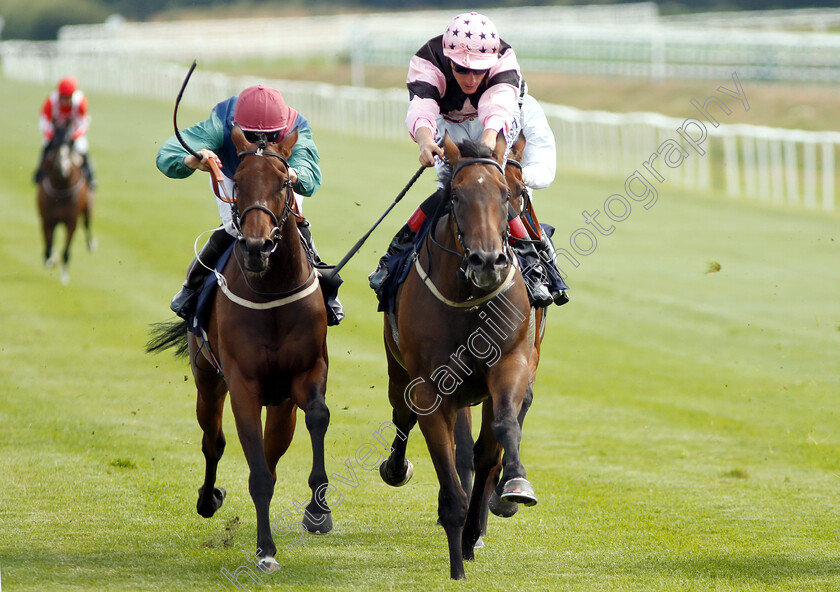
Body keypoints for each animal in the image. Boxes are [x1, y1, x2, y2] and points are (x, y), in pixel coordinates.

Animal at [37, 121, 94, 284]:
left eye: (69, 148)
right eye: (55, 147)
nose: (63, 170)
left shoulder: (71, 222)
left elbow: (66, 251)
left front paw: (64, 277)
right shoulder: (47, 220)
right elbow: (48, 249)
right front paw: (51, 259)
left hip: (88, 208)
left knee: (87, 225)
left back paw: (92, 244)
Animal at [149, 126, 334, 572]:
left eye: (284, 183)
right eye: (239, 181)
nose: (256, 246)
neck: (272, 291)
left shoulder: (307, 372)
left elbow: (317, 417)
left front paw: (318, 511)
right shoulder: (243, 384)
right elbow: (253, 468)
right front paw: (266, 550)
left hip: (280, 403)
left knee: (272, 448)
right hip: (208, 381)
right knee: (213, 441)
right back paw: (208, 499)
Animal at [380, 131, 540, 580]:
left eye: (506, 194)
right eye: (455, 196)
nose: (487, 261)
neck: (468, 299)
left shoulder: (512, 364)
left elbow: (503, 430)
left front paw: (515, 485)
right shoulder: (431, 389)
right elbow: (449, 472)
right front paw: (456, 569)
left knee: (482, 450)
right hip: (399, 371)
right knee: (404, 417)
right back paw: (398, 470)